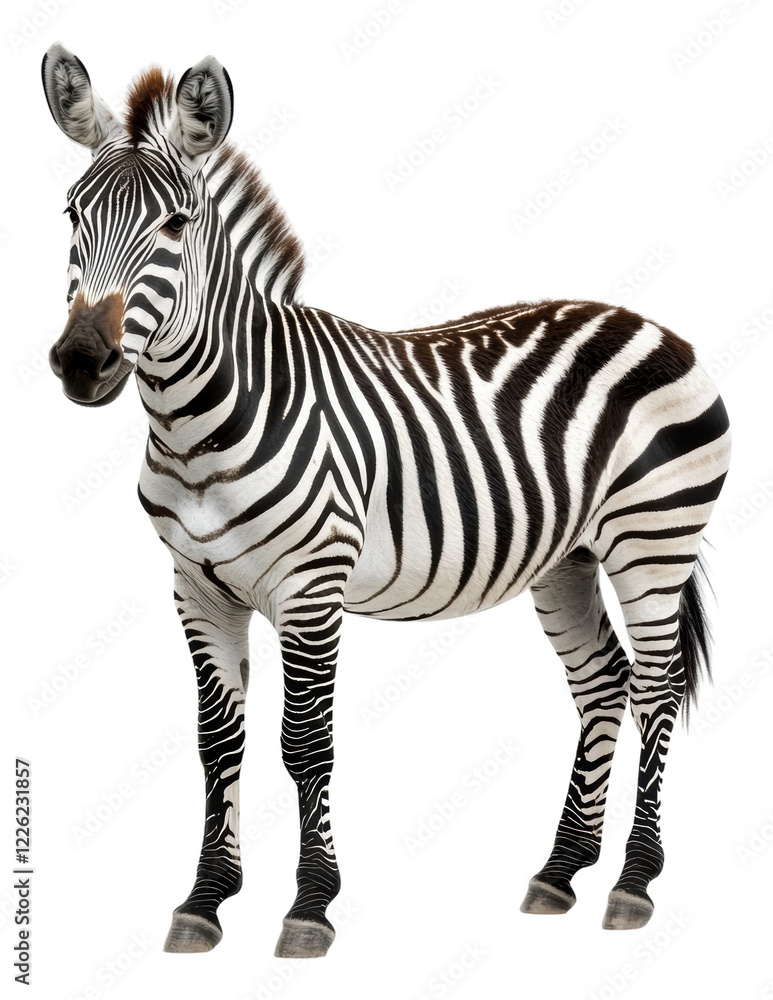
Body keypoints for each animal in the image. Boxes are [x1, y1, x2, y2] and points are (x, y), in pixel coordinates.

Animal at [42, 43, 731, 958]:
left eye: (177, 226)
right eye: (70, 217)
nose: (82, 361)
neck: (200, 428)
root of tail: (649, 323)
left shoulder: (311, 589)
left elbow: (305, 745)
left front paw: (309, 906)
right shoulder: (196, 589)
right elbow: (217, 744)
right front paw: (204, 900)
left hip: (652, 542)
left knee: (655, 687)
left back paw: (632, 883)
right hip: (568, 558)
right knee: (603, 683)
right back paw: (560, 873)